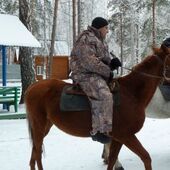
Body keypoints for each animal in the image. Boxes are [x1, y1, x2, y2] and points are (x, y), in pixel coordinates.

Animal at [25, 44, 170, 170]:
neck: (132, 93)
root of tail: (33, 86)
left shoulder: (118, 138)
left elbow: (112, 160)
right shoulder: (126, 135)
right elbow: (146, 157)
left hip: (45, 126)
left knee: (34, 153)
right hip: (39, 126)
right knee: (38, 154)